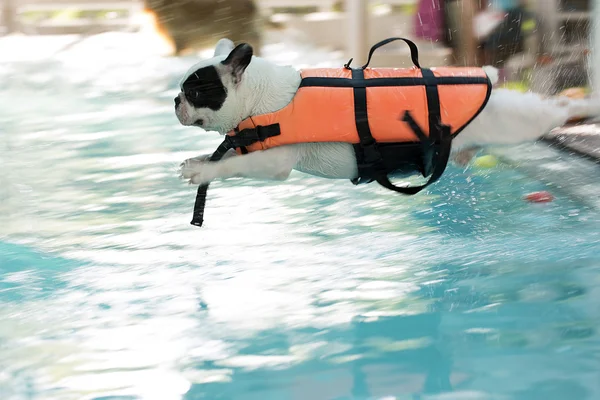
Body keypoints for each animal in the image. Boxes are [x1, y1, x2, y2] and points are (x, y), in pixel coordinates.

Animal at [176, 38, 596, 186]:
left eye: (194, 90)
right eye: (182, 90)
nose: (176, 101)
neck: (261, 97)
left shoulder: (275, 160)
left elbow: (235, 164)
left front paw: (204, 171)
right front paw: (199, 161)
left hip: (516, 123)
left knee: (559, 108)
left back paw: (584, 105)